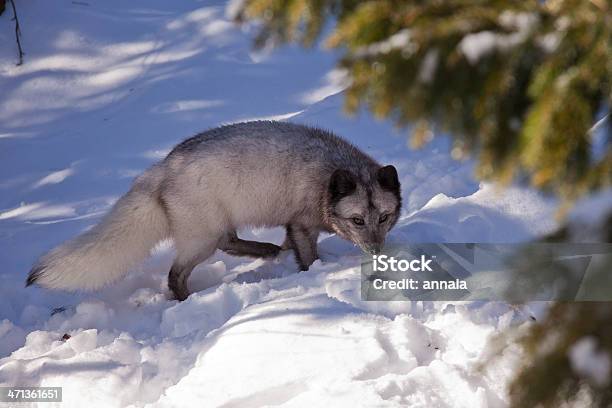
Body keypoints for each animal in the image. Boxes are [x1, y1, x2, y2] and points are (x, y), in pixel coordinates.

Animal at [27, 121, 402, 300]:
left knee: (229, 242)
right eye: (357, 220)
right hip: (201, 238)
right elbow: (308, 257)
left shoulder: (293, 225)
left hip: (214, 228)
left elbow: (292, 245)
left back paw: (266, 250)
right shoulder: (301, 223)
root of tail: (160, 170)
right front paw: (315, 272)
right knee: (177, 272)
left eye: (383, 218)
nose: (376, 251)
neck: (326, 180)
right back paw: (187, 299)